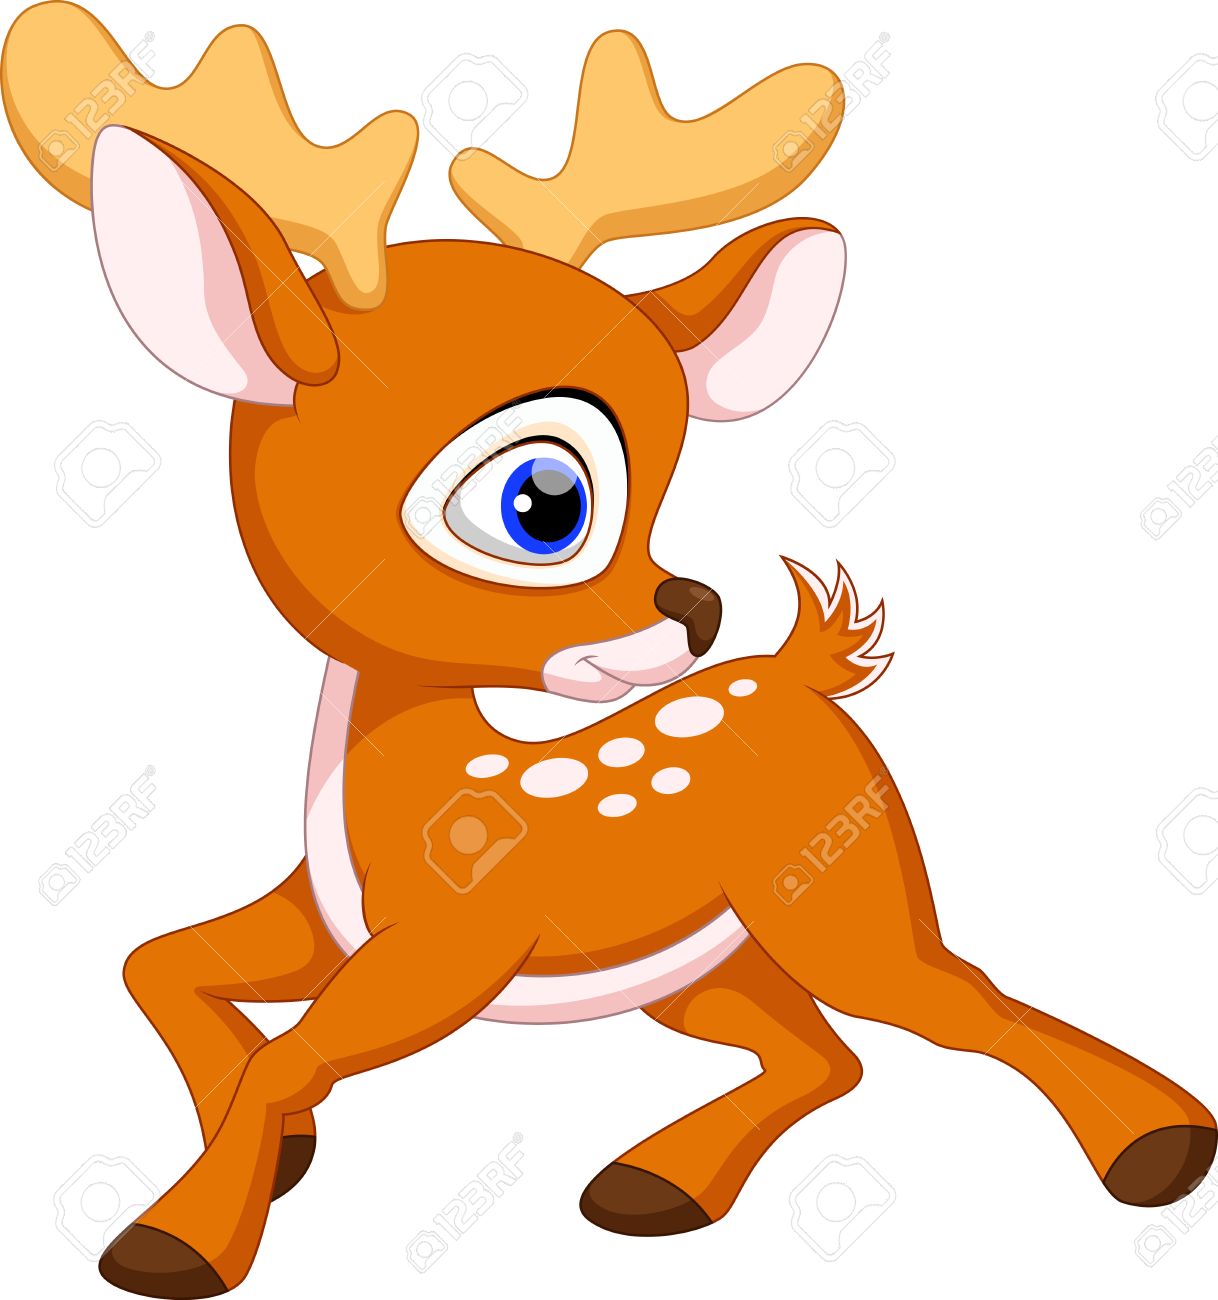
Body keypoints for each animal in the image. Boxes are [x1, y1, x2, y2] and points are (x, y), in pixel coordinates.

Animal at [5, 5, 1214, 1297]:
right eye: (545, 503)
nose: (697, 609)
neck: (414, 787)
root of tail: (795, 674)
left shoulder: (455, 947)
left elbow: (293, 1052)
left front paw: (179, 1234)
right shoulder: (317, 922)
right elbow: (153, 960)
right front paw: (272, 1157)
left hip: (841, 894)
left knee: (957, 1002)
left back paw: (1157, 1144)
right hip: (707, 970)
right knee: (824, 1054)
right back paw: (660, 1182)